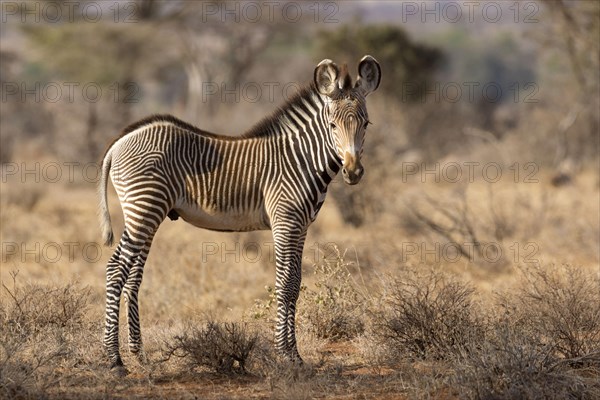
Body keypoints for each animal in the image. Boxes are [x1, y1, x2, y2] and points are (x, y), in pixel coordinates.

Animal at [97, 54, 380, 370]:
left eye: (366, 123)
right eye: (331, 125)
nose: (353, 172)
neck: (302, 159)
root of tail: (120, 142)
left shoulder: (301, 226)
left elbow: (295, 283)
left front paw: (294, 355)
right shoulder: (285, 222)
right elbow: (284, 283)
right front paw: (285, 353)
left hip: (146, 212)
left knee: (133, 275)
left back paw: (138, 354)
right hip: (143, 208)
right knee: (116, 270)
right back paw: (114, 359)